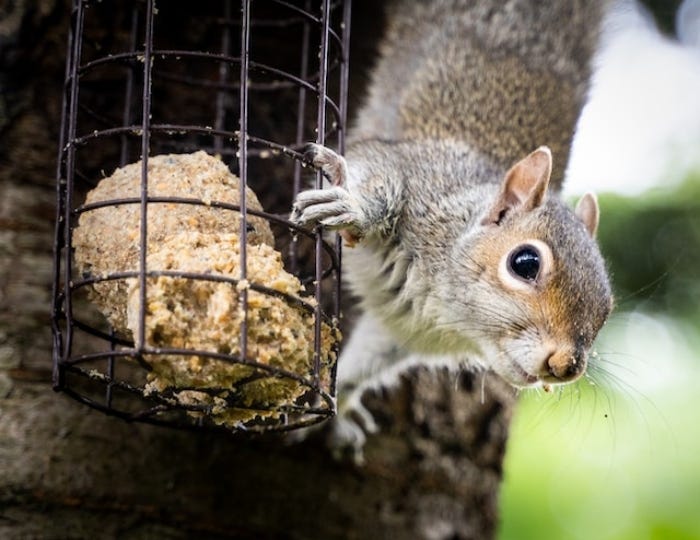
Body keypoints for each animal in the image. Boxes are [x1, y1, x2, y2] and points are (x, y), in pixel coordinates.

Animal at [291, 0, 614, 454]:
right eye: (525, 263)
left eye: (608, 306)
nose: (565, 365)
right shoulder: (414, 172)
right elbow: (372, 170)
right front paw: (349, 204)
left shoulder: (402, 332)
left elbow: (367, 359)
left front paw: (338, 406)